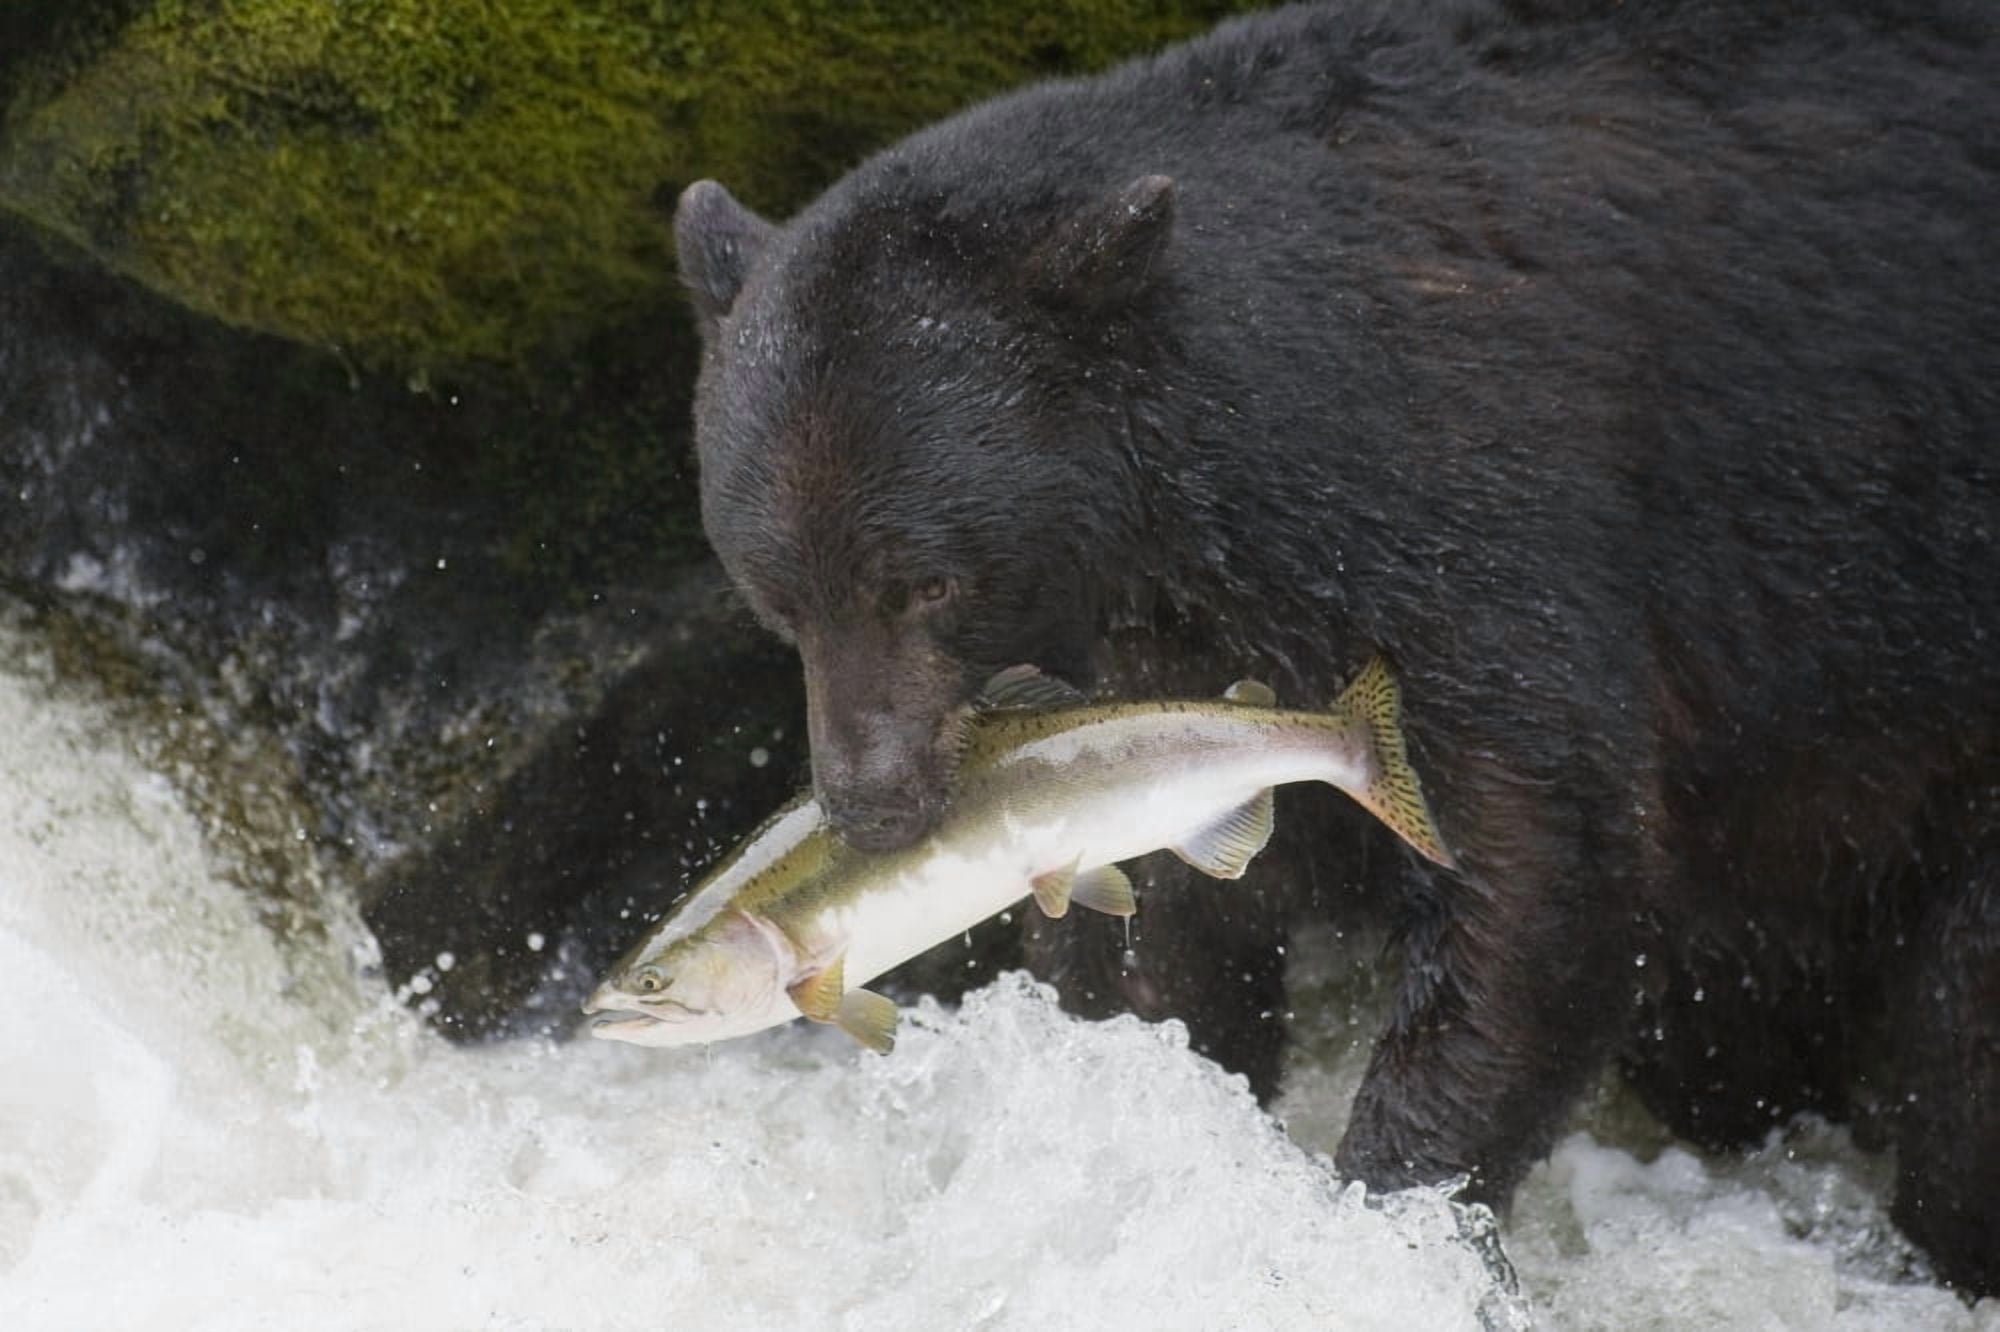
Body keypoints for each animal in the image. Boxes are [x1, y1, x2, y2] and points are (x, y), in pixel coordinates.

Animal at [672, 0, 2000, 1295]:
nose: (871, 803)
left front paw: (1376, 1212)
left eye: (927, 582)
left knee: (1956, 1042)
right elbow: (1161, 923)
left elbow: (1536, 870)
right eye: (777, 596)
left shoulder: (1466, 512)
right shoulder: (1159, 654)